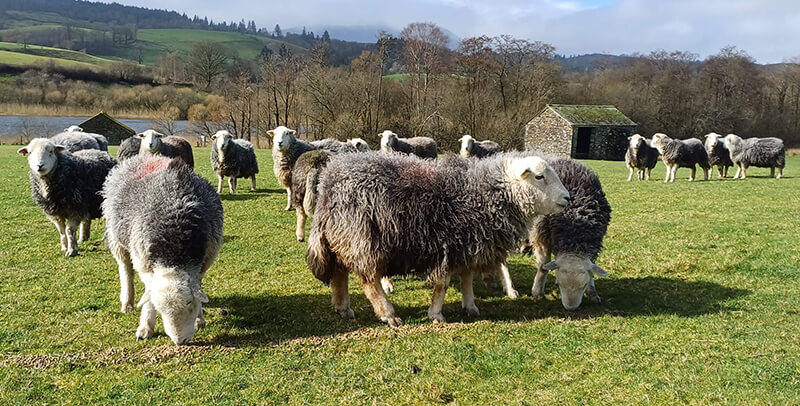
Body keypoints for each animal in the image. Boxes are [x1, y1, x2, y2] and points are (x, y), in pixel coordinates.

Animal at [102, 155, 223, 345]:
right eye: (160, 309)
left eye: (189, 303)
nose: (180, 341)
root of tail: (147, 156)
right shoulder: (143, 262)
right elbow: (148, 295)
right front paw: (145, 327)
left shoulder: (205, 261)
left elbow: (198, 287)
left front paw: (199, 319)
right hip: (118, 240)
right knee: (125, 269)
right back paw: (127, 303)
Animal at [306, 152, 570, 326]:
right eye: (539, 177)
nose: (567, 198)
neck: (489, 193)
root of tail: (329, 182)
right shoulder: (447, 245)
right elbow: (443, 284)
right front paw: (436, 314)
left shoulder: (467, 245)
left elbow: (466, 279)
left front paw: (471, 307)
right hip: (362, 240)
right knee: (369, 282)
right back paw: (389, 315)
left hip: (341, 238)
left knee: (339, 275)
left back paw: (343, 309)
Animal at [518, 155, 612, 311]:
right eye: (558, 283)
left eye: (583, 285)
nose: (570, 308)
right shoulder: (541, 235)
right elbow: (543, 266)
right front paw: (537, 293)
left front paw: (593, 292)